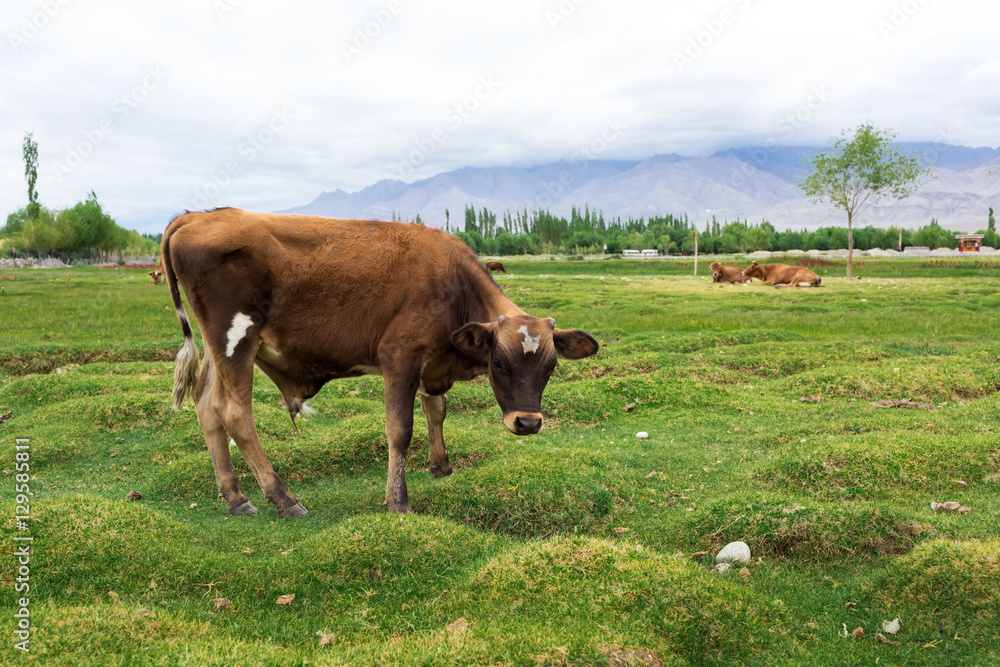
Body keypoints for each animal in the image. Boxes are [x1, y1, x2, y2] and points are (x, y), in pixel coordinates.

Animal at [162, 208, 599, 517]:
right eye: (498, 362)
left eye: (550, 367)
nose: (527, 423)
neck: (453, 283)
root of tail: (195, 216)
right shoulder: (400, 356)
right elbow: (400, 429)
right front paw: (398, 500)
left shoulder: (430, 360)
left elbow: (436, 409)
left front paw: (441, 465)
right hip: (235, 340)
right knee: (235, 413)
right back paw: (283, 498)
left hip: (218, 347)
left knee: (206, 406)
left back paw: (235, 496)